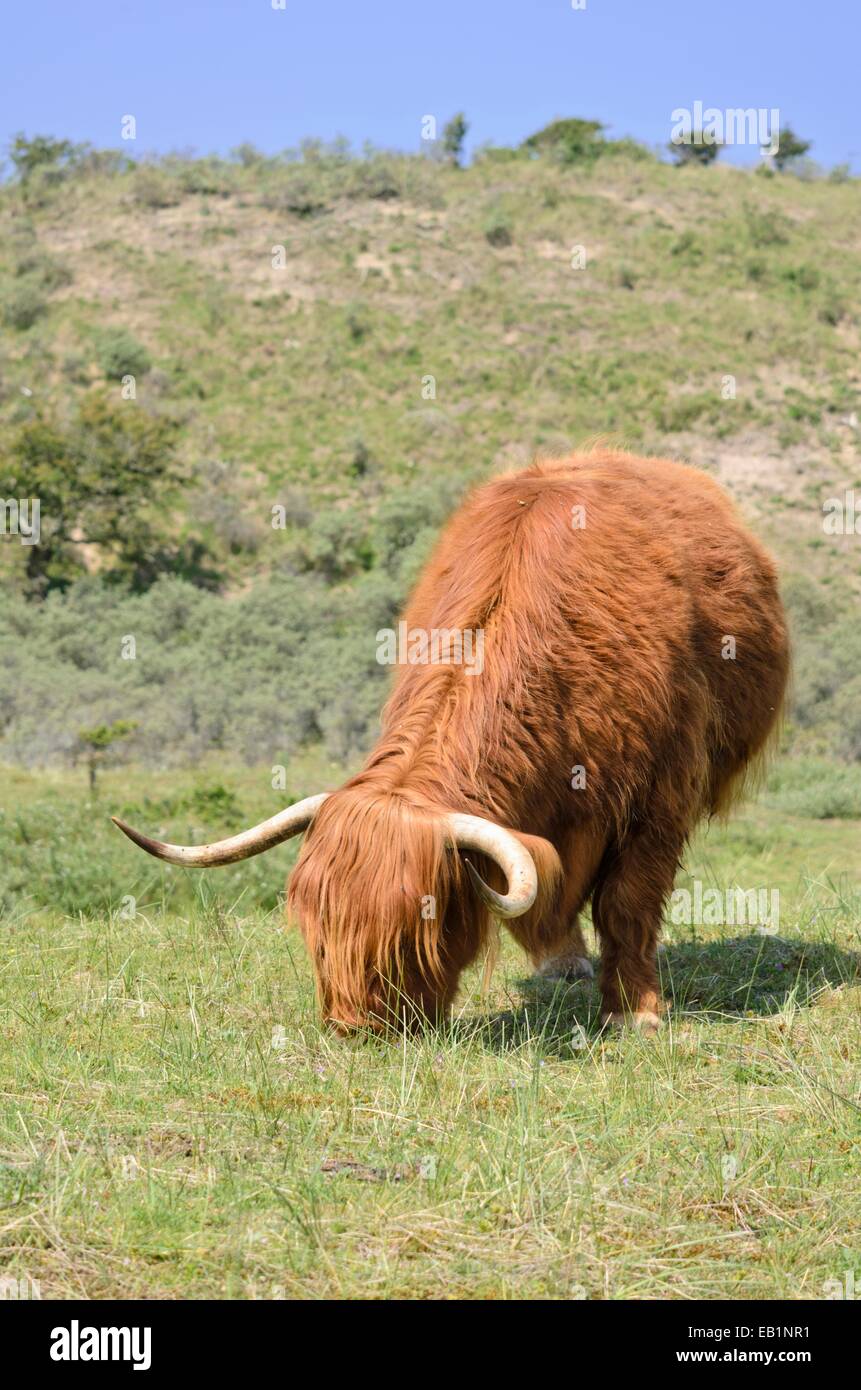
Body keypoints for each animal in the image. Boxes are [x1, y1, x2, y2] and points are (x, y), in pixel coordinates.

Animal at [116, 453, 795, 1034]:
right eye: (316, 926)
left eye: (420, 924)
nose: (355, 1025)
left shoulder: (661, 796)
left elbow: (627, 901)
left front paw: (635, 1012)